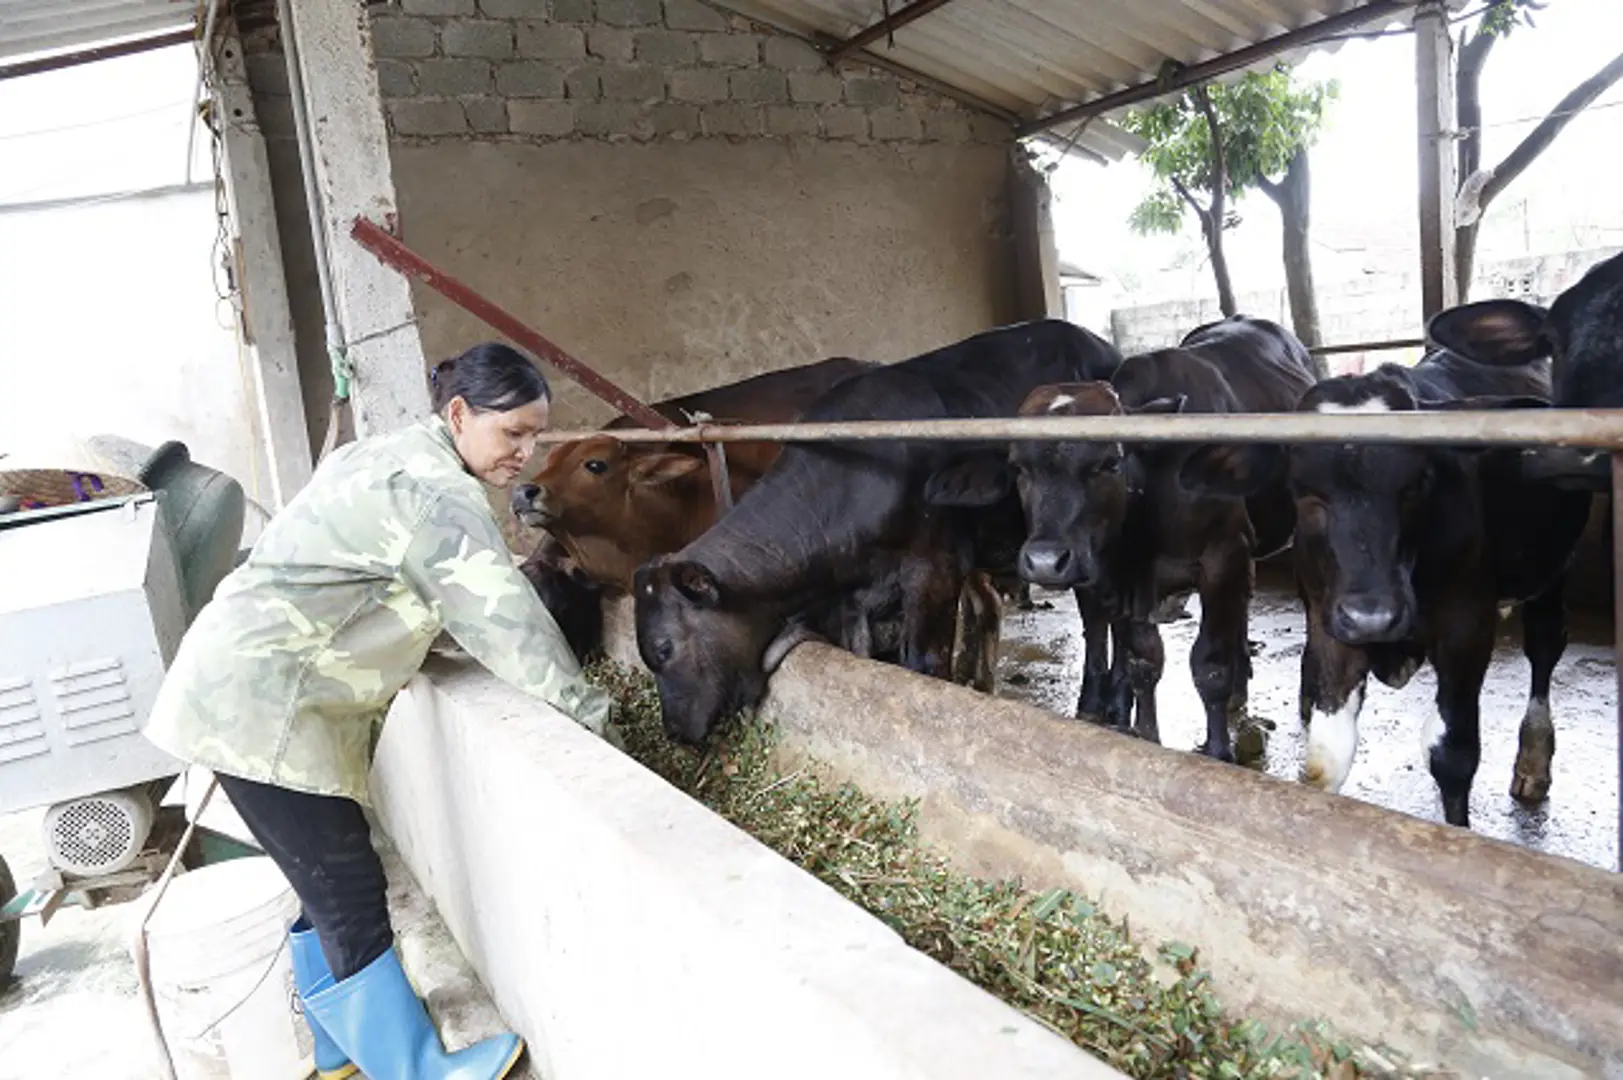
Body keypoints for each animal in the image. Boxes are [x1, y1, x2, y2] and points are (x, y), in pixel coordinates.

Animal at [636, 318, 1129, 740]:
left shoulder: (933, 571)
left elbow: (923, 665)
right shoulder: (855, 601)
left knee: (1097, 611)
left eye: (663, 649)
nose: (675, 732)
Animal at [928, 316, 1317, 763]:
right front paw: (1147, 736)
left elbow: (1209, 666)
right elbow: (1141, 660)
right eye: (1019, 467)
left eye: (1110, 462)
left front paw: (1219, 750)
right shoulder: (1125, 577)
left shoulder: (1223, 553)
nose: (1045, 561)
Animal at [1175, 349, 1590, 821]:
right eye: (1304, 490)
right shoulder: (1330, 622)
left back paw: (1534, 760)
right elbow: (1327, 757)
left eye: (1419, 481)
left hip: (1554, 567)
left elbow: (1454, 756)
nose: (1372, 617)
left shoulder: (1466, 627)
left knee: (1545, 644)